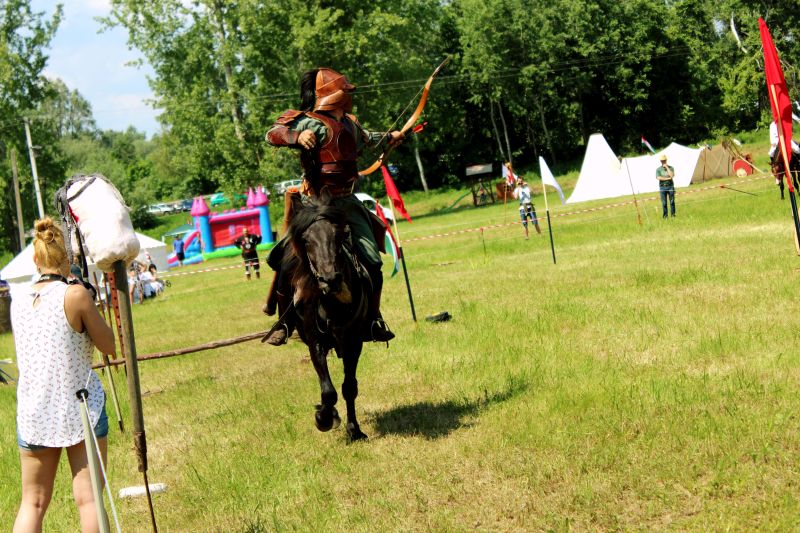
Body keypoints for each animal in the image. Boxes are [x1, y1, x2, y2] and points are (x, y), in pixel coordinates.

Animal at [279, 191, 373, 441]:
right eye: (306, 240)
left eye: (338, 236)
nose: (330, 280)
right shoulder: (316, 343)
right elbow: (328, 391)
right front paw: (324, 418)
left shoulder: (353, 342)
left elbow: (349, 387)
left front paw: (354, 429)